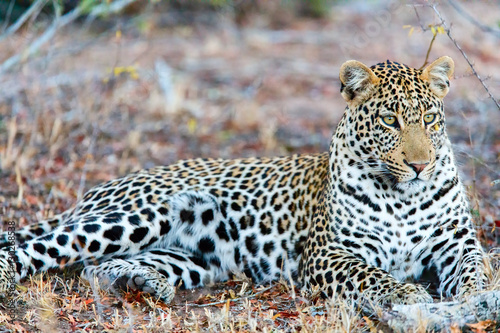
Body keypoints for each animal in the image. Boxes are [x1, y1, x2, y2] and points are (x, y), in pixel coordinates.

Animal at [0, 55, 486, 306]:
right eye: (389, 120)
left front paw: (477, 300)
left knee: (97, 269)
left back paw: (141, 284)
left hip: (192, 258)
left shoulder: (456, 243)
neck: (403, 197)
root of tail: (97, 189)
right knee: (41, 247)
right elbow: (374, 276)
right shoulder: (330, 254)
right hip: (138, 215)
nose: (420, 165)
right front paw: (409, 296)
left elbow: (478, 267)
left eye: (429, 120)